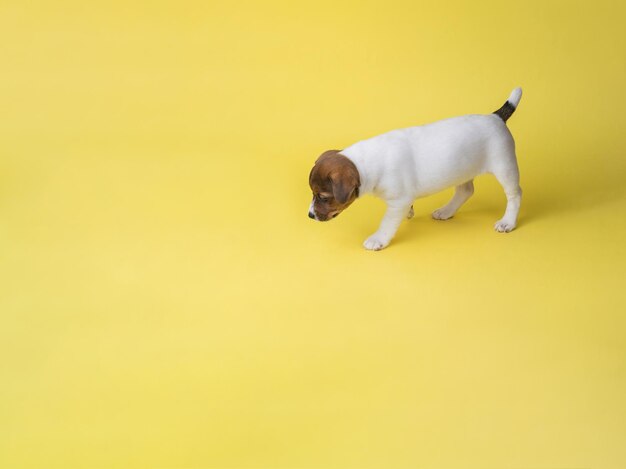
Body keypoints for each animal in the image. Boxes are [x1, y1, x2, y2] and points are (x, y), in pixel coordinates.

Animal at [308, 86, 520, 250]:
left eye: (323, 197)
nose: (310, 215)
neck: (363, 162)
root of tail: (495, 117)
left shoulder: (397, 202)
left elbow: (387, 222)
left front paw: (378, 239)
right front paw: (410, 212)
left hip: (504, 166)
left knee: (514, 194)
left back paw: (507, 222)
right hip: (463, 169)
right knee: (466, 191)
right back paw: (446, 211)